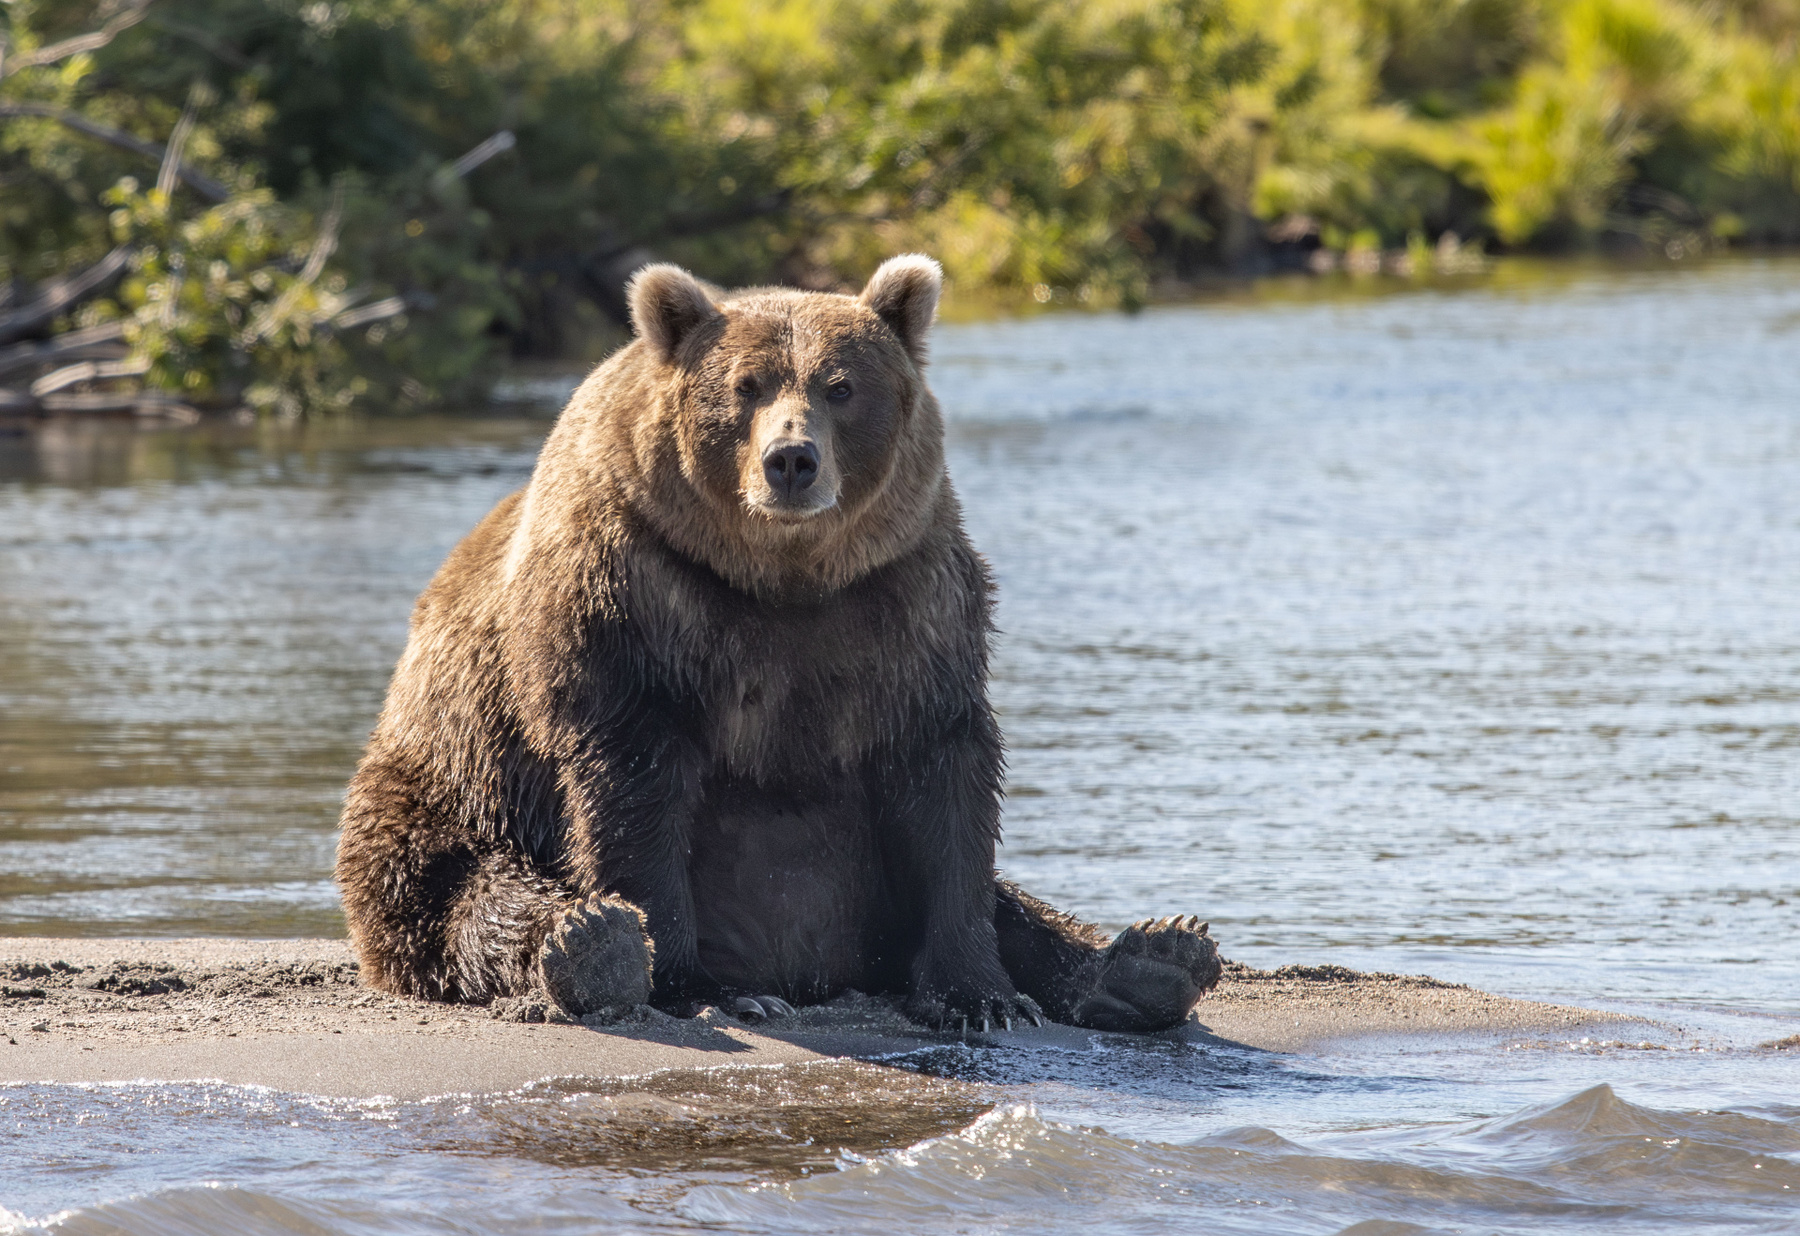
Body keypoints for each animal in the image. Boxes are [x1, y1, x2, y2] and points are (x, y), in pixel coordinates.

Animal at [334, 254, 1220, 1032]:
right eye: (745, 386)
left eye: (841, 386)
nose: (791, 459)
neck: (783, 578)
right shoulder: (635, 598)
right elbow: (634, 784)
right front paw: (689, 985)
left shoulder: (908, 601)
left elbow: (947, 787)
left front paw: (981, 996)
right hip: (447, 796)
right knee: (470, 897)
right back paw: (594, 946)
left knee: (1014, 903)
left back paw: (1151, 960)